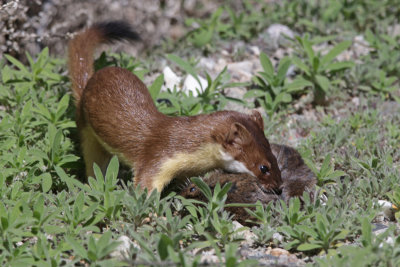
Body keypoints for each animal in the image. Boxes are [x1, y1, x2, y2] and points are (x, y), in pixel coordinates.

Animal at [68, 21, 282, 193]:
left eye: (274, 158)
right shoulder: (157, 158)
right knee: (93, 163)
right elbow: (145, 184)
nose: (279, 187)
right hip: (87, 131)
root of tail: (91, 80)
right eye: (263, 167)